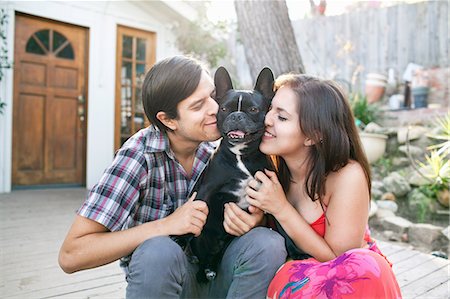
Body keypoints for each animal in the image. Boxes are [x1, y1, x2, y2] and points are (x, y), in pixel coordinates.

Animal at [186, 66, 274, 284]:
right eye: (224, 109)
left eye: (253, 110)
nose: (236, 116)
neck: (241, 155)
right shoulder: (206, 190)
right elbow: (196, 212)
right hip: (202, 241)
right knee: (200, 252)